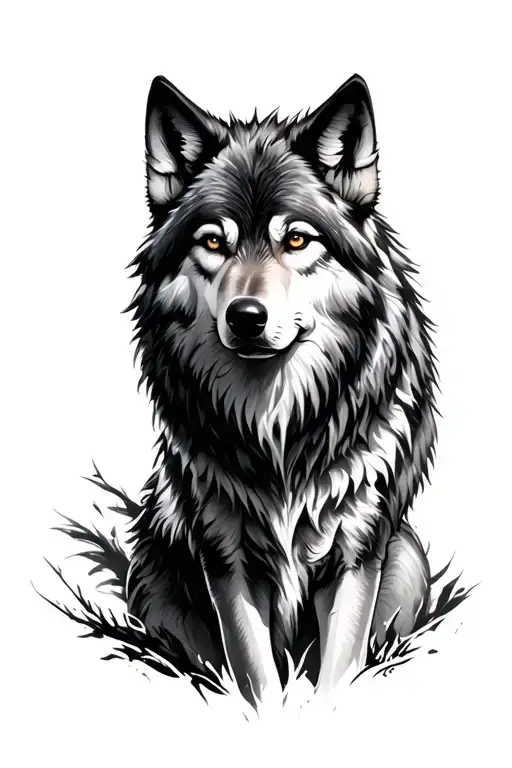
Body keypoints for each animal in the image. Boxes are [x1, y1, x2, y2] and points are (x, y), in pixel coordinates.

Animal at [125, 73, 438, 710]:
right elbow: (257, 680)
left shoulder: (356, 553)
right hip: (152, 579)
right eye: (213, 243)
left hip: (406, 559)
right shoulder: (226, 558)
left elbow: (338, 672)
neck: (279, 430)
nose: (246, 317)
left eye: (296, 239)